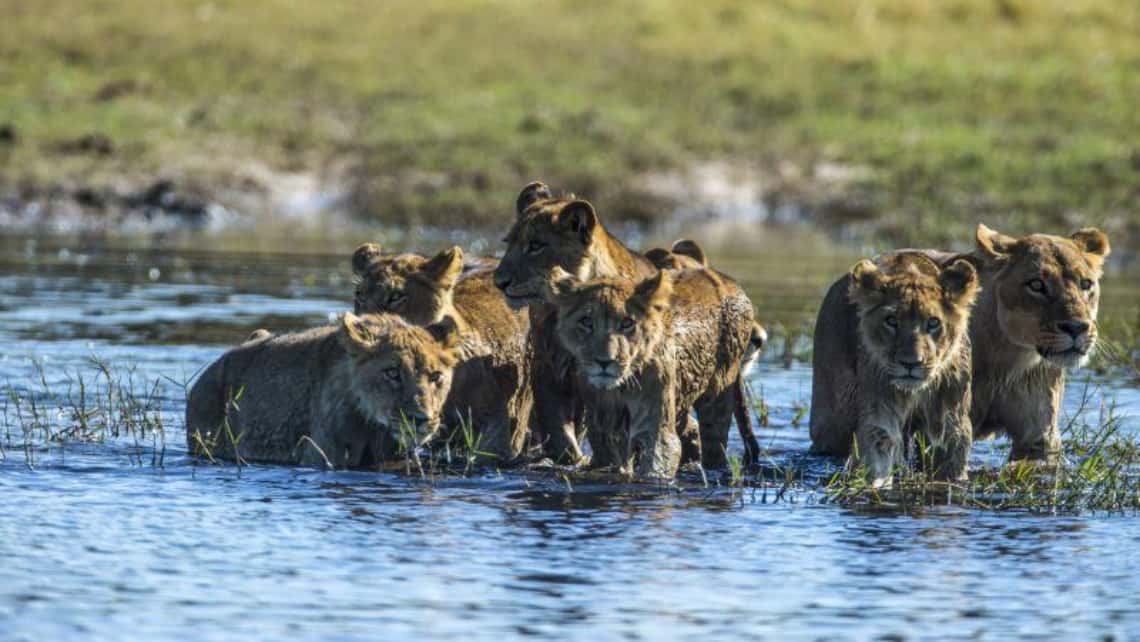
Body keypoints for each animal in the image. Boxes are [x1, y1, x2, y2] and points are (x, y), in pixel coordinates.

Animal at [542, 263, 756, 478]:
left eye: (627, 323)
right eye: (586, 322)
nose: (605, 361)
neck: (617, 389)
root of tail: (727, 279)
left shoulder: (654, 425)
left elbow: (659, 454)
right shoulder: (603, 428)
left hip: (719, 394)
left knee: (715, 445)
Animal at [807, 254, 984, 485]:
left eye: (933, 322)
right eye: (891, 321)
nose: (911, 363)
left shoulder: (950, 417)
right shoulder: (880, 406)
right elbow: (879, 444)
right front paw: (875, 484)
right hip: (832, 421)